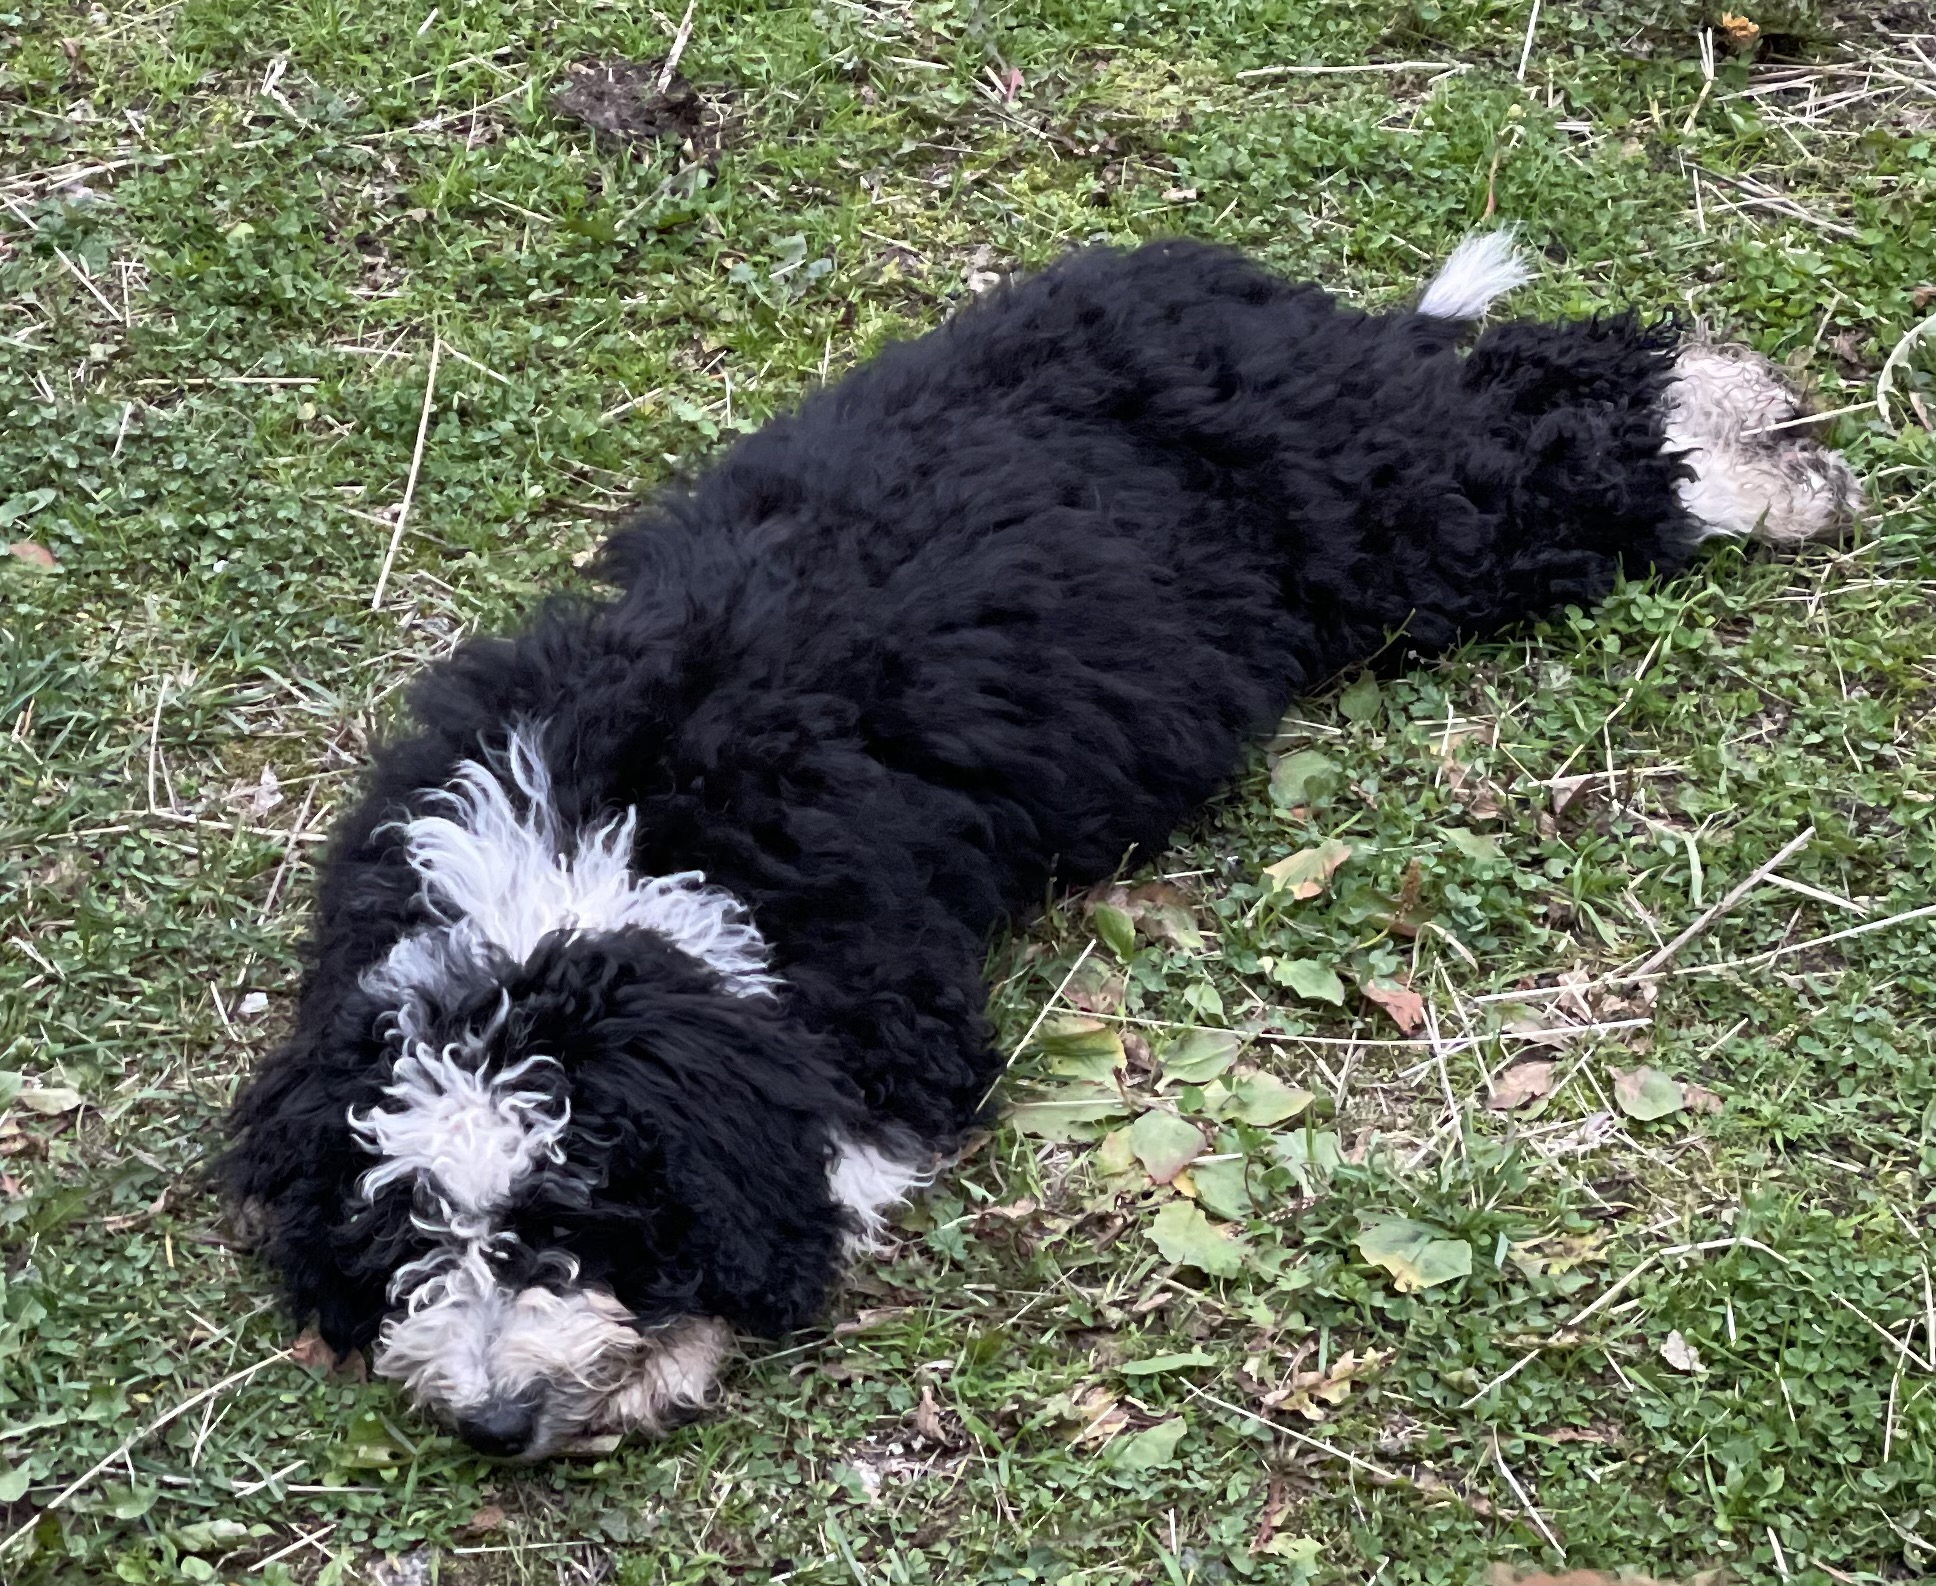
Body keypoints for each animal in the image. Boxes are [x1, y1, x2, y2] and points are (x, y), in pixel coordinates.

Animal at [222, 233, 1860, 1459]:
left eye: (568, 1218)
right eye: (406, 1228)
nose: (493, 1419)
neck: (584, 842)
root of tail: (1241, 295)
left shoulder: (886, 1015)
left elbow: (824, 1166)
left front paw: (662, 1347)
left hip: (1393, 521)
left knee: (1567, 447)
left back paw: (1759, 462)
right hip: (1382, 459)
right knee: (1540, 369)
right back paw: (1748, 404)